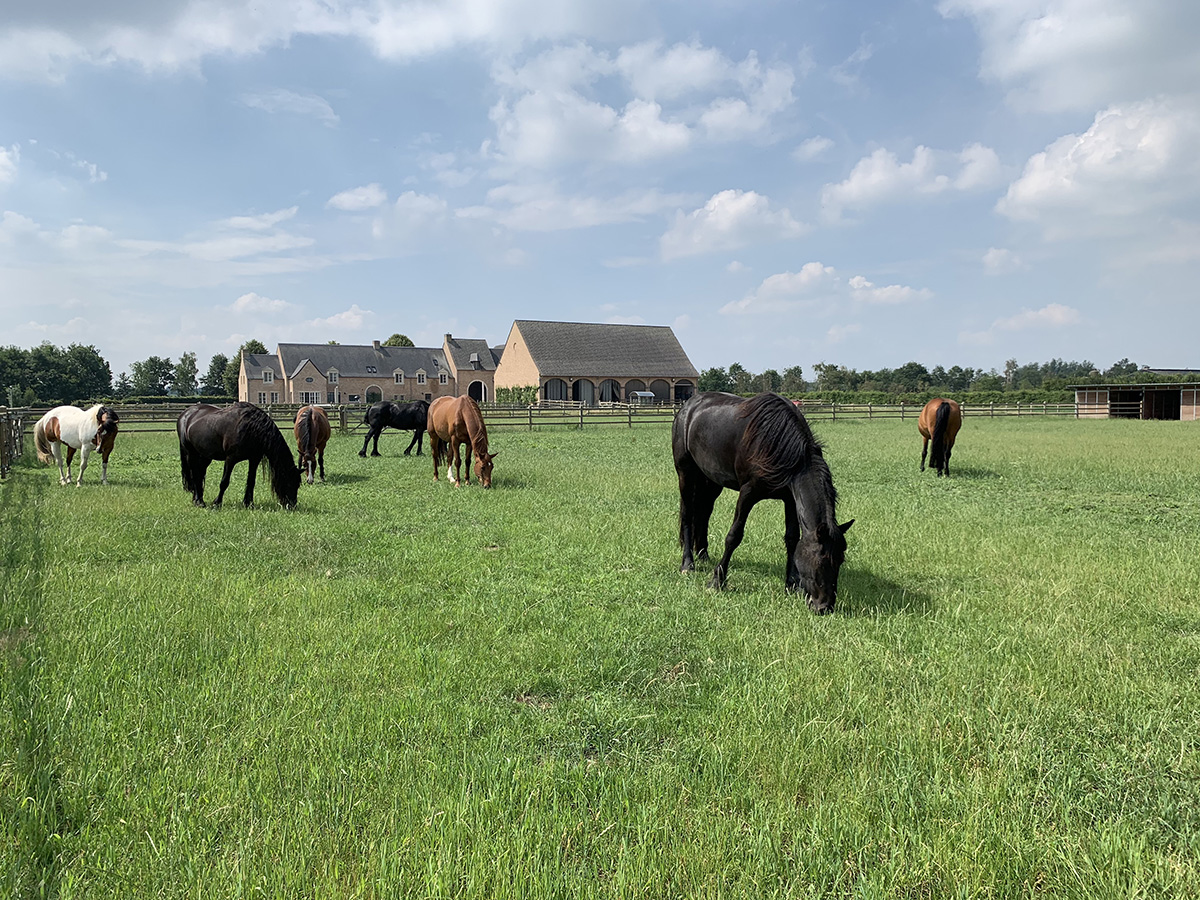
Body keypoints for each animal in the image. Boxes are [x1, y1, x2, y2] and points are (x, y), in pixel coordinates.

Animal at [676, 391, 854, 619]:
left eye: (840, 560)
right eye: (821, 560)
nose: (824, 607)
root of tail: (688, 406)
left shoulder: (789, 499)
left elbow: (791, 539)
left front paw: (791, 584)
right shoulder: (748, 493)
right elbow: (734, 536)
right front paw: (717, 581)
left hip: (711, 479)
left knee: (704, 512)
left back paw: (703, 554)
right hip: (686, 472)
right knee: (688, 514)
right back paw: (688, 564)